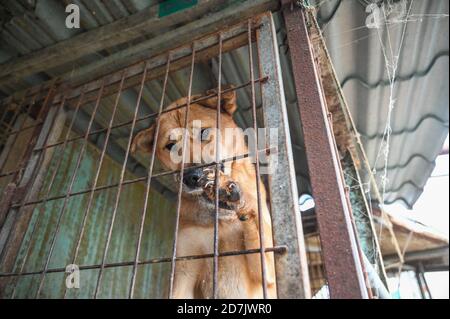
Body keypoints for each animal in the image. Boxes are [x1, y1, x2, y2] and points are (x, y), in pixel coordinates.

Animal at [131, 86, 274, 298]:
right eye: (170, 146)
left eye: (204, 132)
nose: (192, 177)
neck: (218, 219)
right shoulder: (184, 268)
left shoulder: (267, 271)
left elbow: (256, 222)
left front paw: (235, 195)